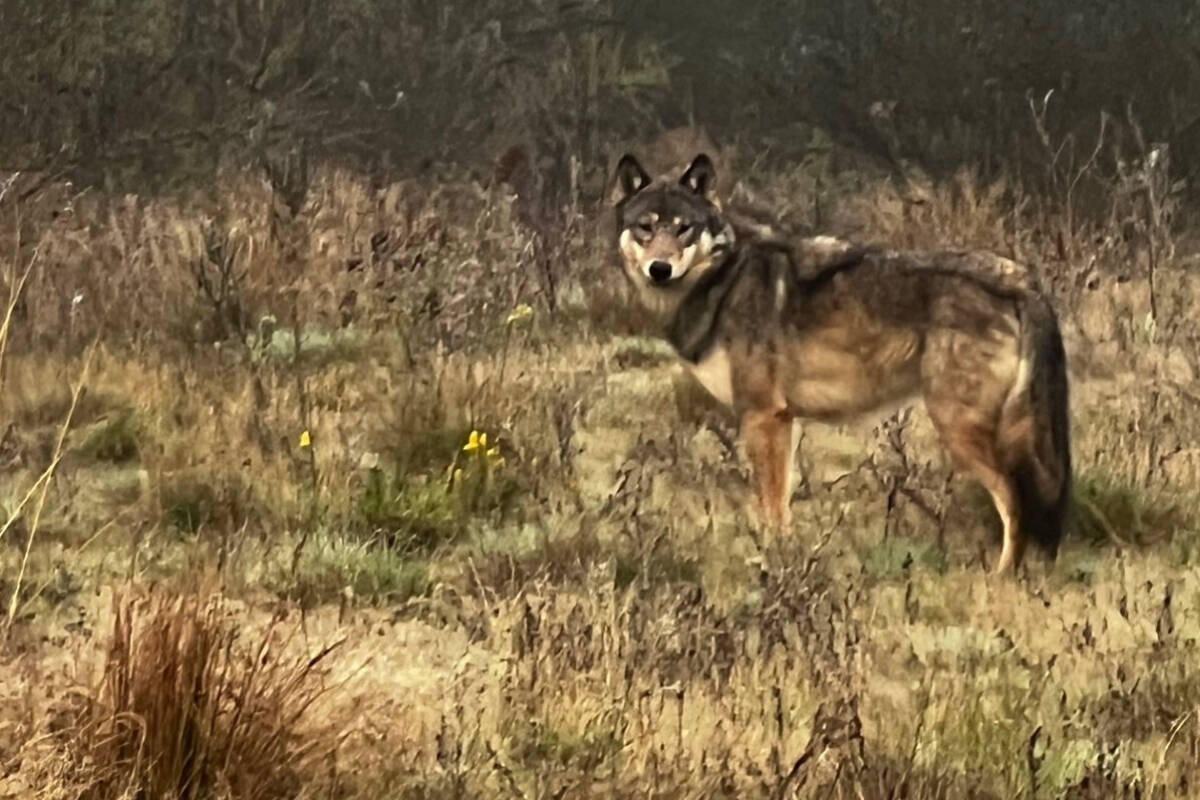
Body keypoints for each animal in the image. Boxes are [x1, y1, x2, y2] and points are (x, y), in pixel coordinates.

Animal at [608, 152, 1071, 573]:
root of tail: (1020, 280)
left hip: (960, 429)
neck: (724, 281)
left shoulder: (761, 416)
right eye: (646, 227)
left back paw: (1003, 578)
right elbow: (781, 505)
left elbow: (769, 507)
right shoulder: (785, 422)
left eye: (683, 228)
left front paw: (772, 566)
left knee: (1016, 501)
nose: (660, 269)